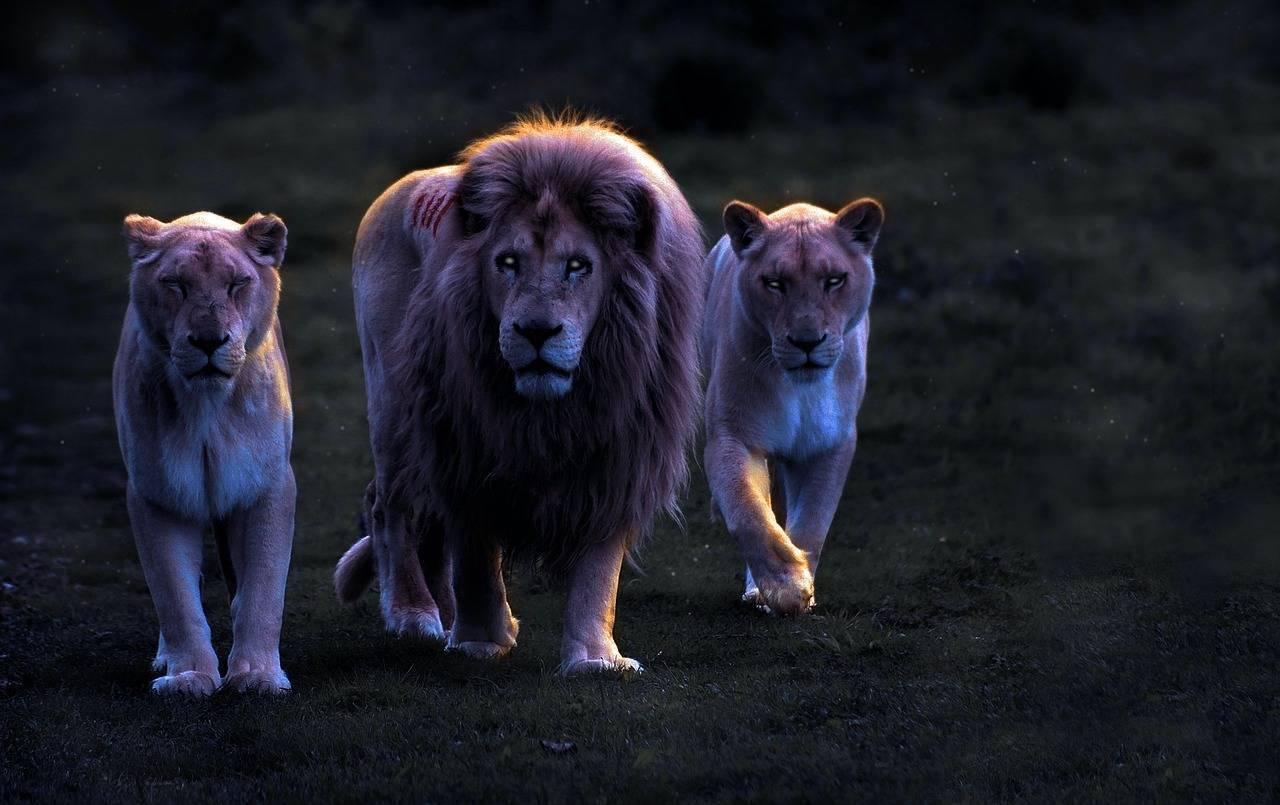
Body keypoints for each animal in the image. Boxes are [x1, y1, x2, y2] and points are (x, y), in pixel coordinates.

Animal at [114, 211, 295, 695]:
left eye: (237, 284)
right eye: (176, 284)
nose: (209, 340)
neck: (207, 407)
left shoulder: (266, 486)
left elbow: (263, 588)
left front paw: (257, 675)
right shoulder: (156, 494)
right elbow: (174, 595)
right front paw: (189, 676)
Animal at [333, 115, 704, 673]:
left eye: (578, 266)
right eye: (507, 262)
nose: (535, 331)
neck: (553, 413)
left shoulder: (618, 455)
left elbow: (598, 570)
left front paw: (595, 661)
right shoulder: (464, 445)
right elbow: (476, 555)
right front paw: (480, 642)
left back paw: (445, 615)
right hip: (396, 405)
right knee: (389, 507)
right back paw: (414, 614)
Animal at [702, 198, 883, 615]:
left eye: (834, 280)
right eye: (774, 283)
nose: (806, 341)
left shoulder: (830, 444)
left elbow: (813, 521)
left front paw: (801, 588)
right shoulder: (733, 436)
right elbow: (748, 511)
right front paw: (785, 586)